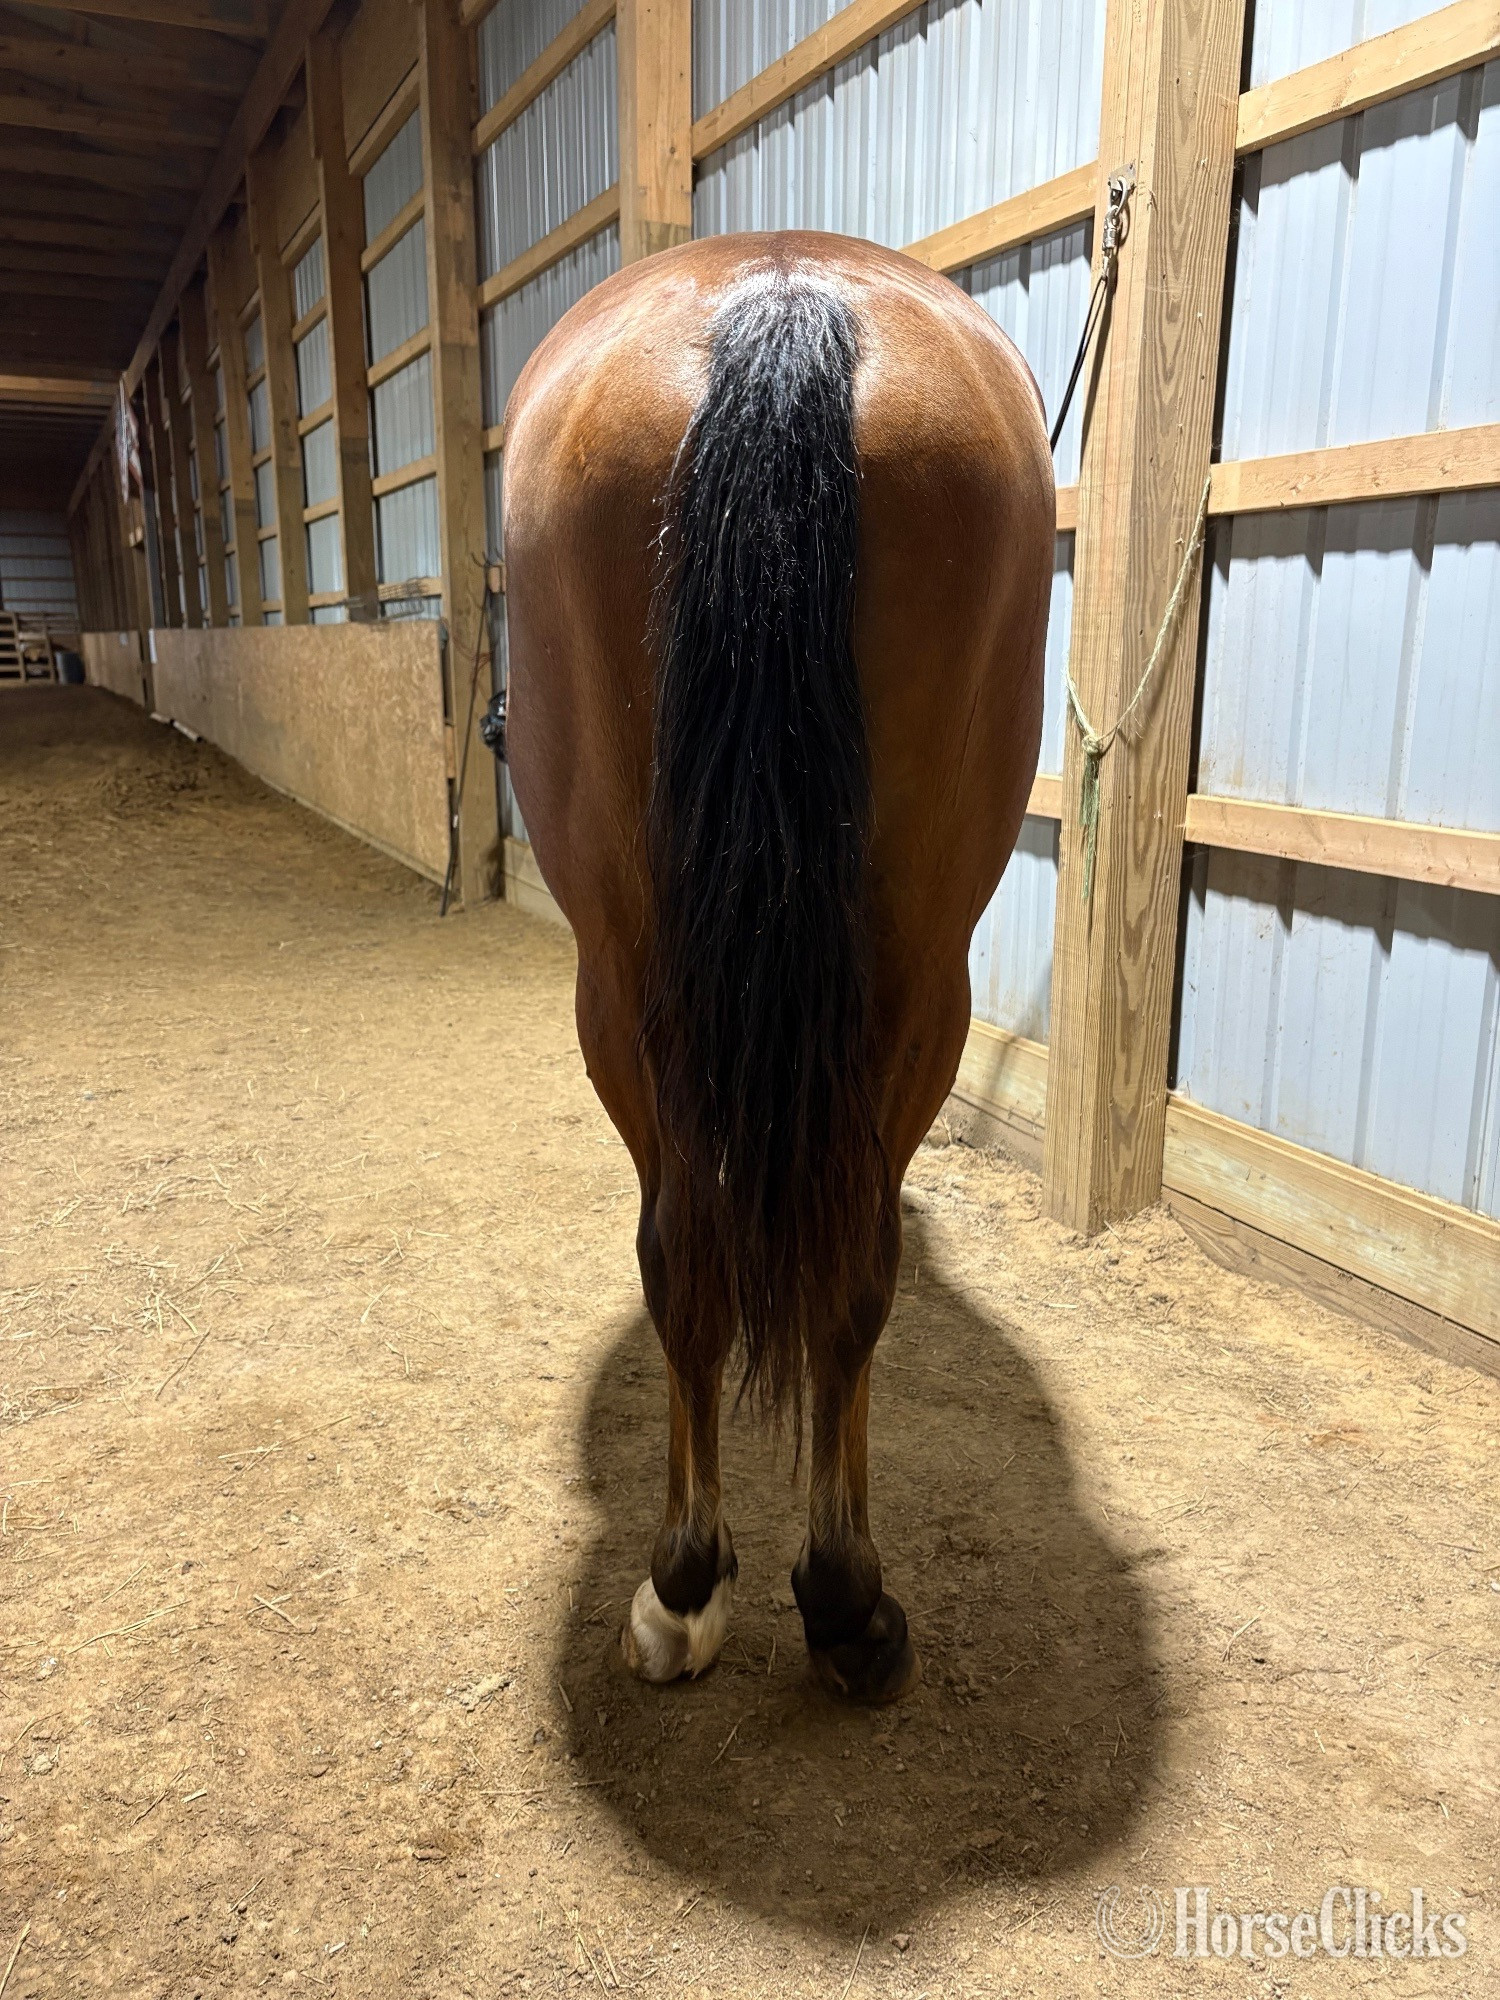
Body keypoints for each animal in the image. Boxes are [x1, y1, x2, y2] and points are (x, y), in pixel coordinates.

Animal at [501, 231, 1052, 1703]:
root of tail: (783, 288)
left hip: (637, 990)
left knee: (701, 1253)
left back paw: (709, 1588)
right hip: (906, 985)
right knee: (823, 1265)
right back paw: (814, 1598)